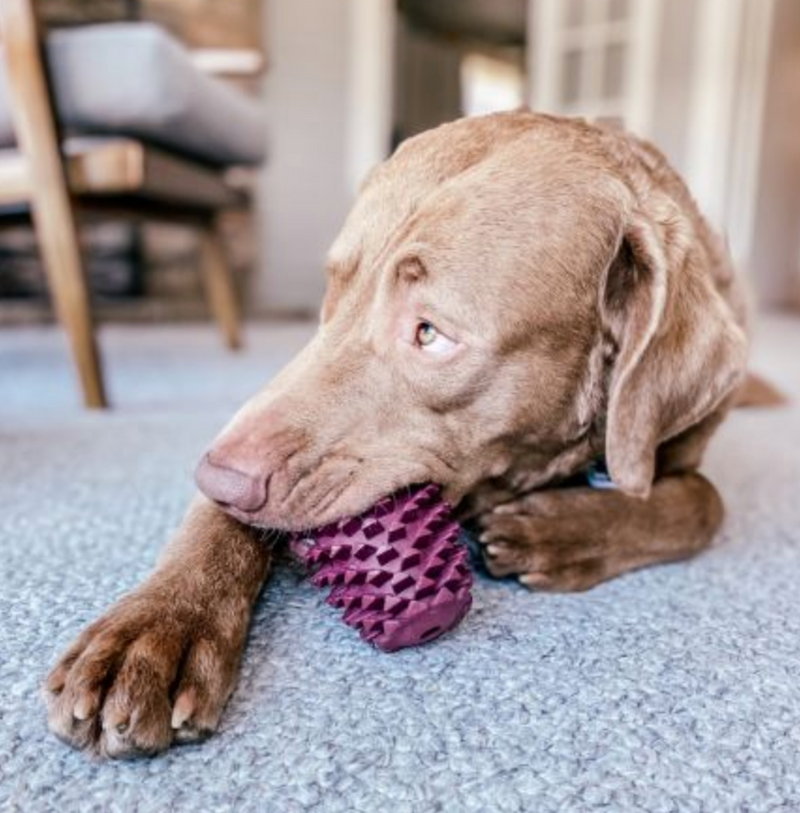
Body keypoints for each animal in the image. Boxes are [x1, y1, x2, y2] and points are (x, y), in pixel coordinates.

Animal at [45, 111, 752, 760]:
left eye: (429, 333)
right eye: (333, 291)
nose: (217, 475)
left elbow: (705, 502)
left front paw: (556, 532)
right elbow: (215, 521)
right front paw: (159, 626)